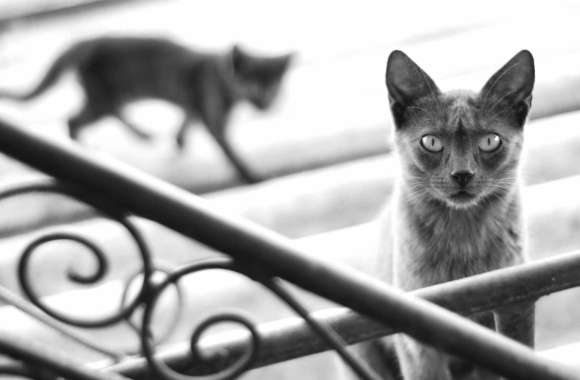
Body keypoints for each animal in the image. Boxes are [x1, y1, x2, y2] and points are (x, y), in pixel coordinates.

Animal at [0, 36, 292, 183]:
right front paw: (251, 175)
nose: (265, 105)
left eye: (273, 87)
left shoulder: (195, 107)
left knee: (105, 114)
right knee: (73, 120)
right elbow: (231, 152)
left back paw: (142, 134)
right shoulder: (214, 119)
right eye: (250, 85)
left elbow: (187, 119)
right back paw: (84, 149)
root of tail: (84, 43)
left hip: (111, 97)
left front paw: (179, 141)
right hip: (103, 98)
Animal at [356, 50, 536, 380]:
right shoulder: (418, 344)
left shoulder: (517, 310)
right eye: (431, 142)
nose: (462, 174)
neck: (464, 238)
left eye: (490, 141)